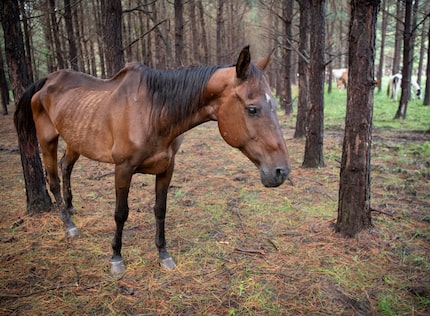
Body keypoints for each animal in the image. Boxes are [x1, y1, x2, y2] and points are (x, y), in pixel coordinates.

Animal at [15, 46, 290, 274]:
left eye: (274, 105)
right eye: (252, 109)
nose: (281, 171)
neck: (153, 113)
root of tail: (47, 81)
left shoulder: (166, 169)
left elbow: (160, 209)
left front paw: (163, 254)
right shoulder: (123, 169)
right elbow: (121, 213)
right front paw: (116, 258)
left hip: (76, 140)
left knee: (66, 167)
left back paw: (71, 207)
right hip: (47, 140)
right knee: (52, 178)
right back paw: (69, 224)